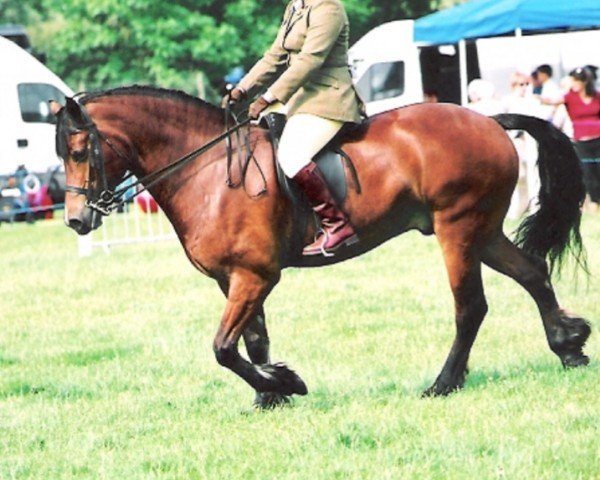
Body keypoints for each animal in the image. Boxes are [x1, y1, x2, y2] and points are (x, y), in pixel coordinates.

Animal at [48, 84, 592, 406]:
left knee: (470, 307)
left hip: (457, 228)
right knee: (533, 272)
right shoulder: (235, 279)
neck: (206, 171)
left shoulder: (255, 276)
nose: (75, 220)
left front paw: (283, 384)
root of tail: (489, 120)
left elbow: (223, 347)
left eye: (80, 150)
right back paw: (569, 347)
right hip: (484, 230)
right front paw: (272, 394)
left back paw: (443, 384)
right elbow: (253, 340)